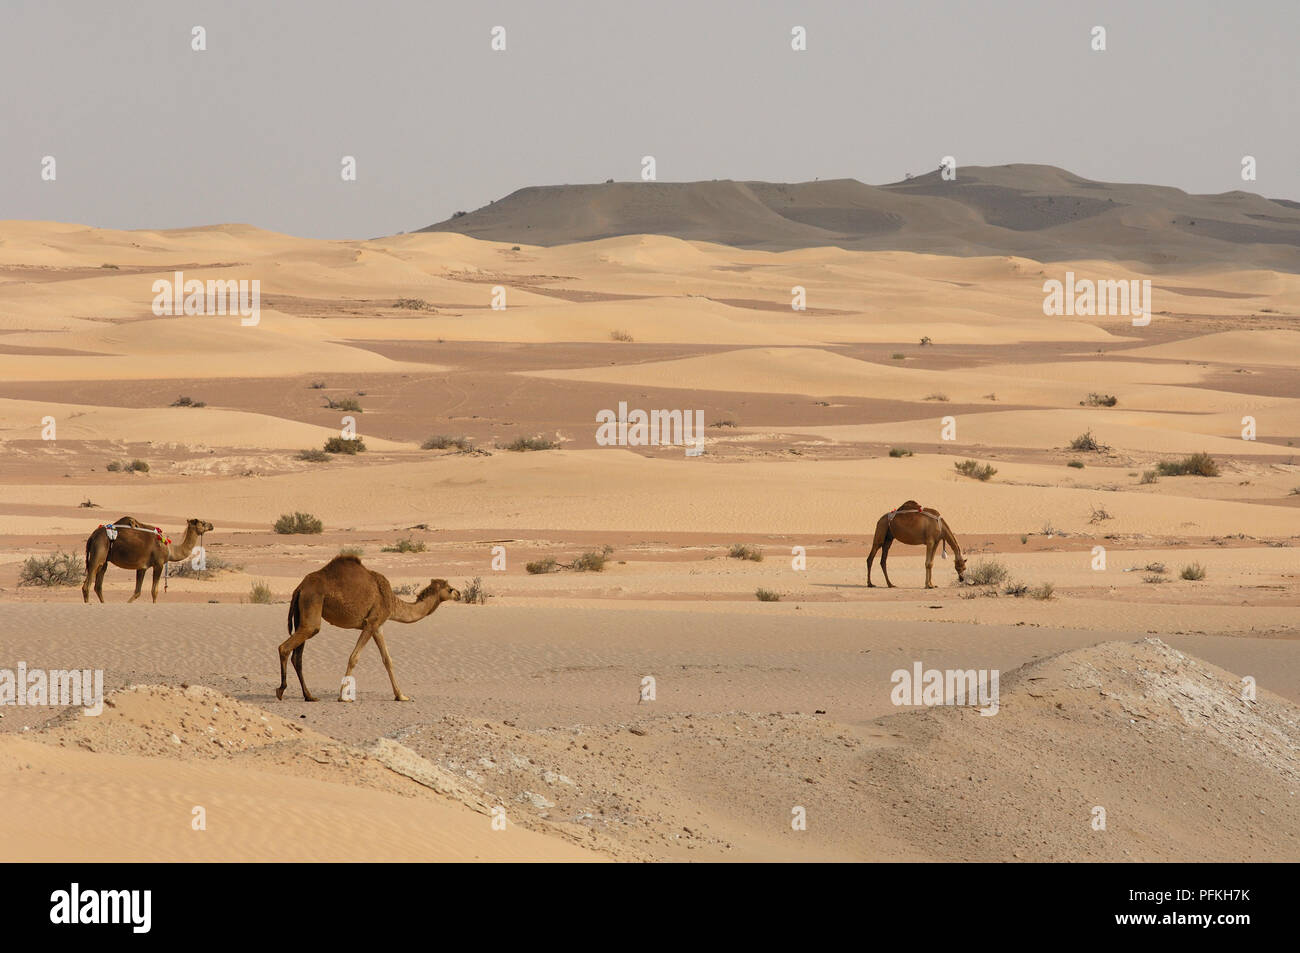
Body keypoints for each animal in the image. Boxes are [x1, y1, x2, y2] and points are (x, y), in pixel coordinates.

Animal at [82, 516, 213, 603]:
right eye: (202, 522)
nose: (211, 525)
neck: (170, 549)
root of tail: (92, 536)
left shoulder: (142, 567)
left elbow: (137, 592)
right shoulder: (159, 564)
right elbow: (154, 591)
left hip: (104, 561)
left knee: (98, 586)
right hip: (97, 555)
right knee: (86, 586)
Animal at [277, 554, 461, 703]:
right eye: (450, 588)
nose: (459, 594)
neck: (392, 601)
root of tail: (300, 587)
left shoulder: (378, 627)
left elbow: (387, 660)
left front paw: (401, 695)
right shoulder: (371, 622)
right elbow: (354, 657)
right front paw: (343, 697)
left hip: (302, 614)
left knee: (297, 657)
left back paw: (309, 696)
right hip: (312, 604)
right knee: (286, 647)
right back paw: (281, 690)